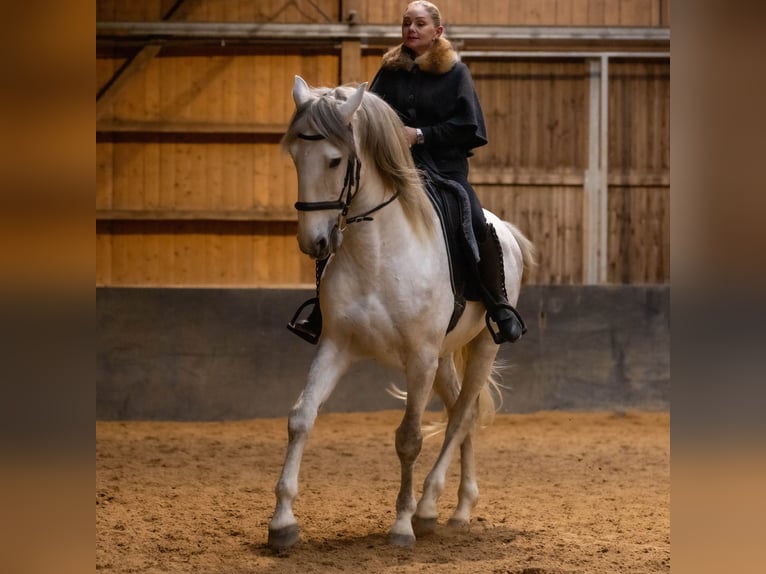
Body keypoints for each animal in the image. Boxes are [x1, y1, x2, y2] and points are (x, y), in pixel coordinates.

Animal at [268, 76, 536, 552]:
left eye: (335, 160)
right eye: (296, 156)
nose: (314, 242)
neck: (378, 253)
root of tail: (504, 229)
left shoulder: (419, 357)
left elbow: (409, 438)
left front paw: (401, 524)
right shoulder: (336, 346)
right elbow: (301, 418)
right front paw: (282, 523)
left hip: (481, 347)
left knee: (461, 416)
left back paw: (430, 509)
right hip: (445, 358)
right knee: (461, 413)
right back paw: (457, 510)